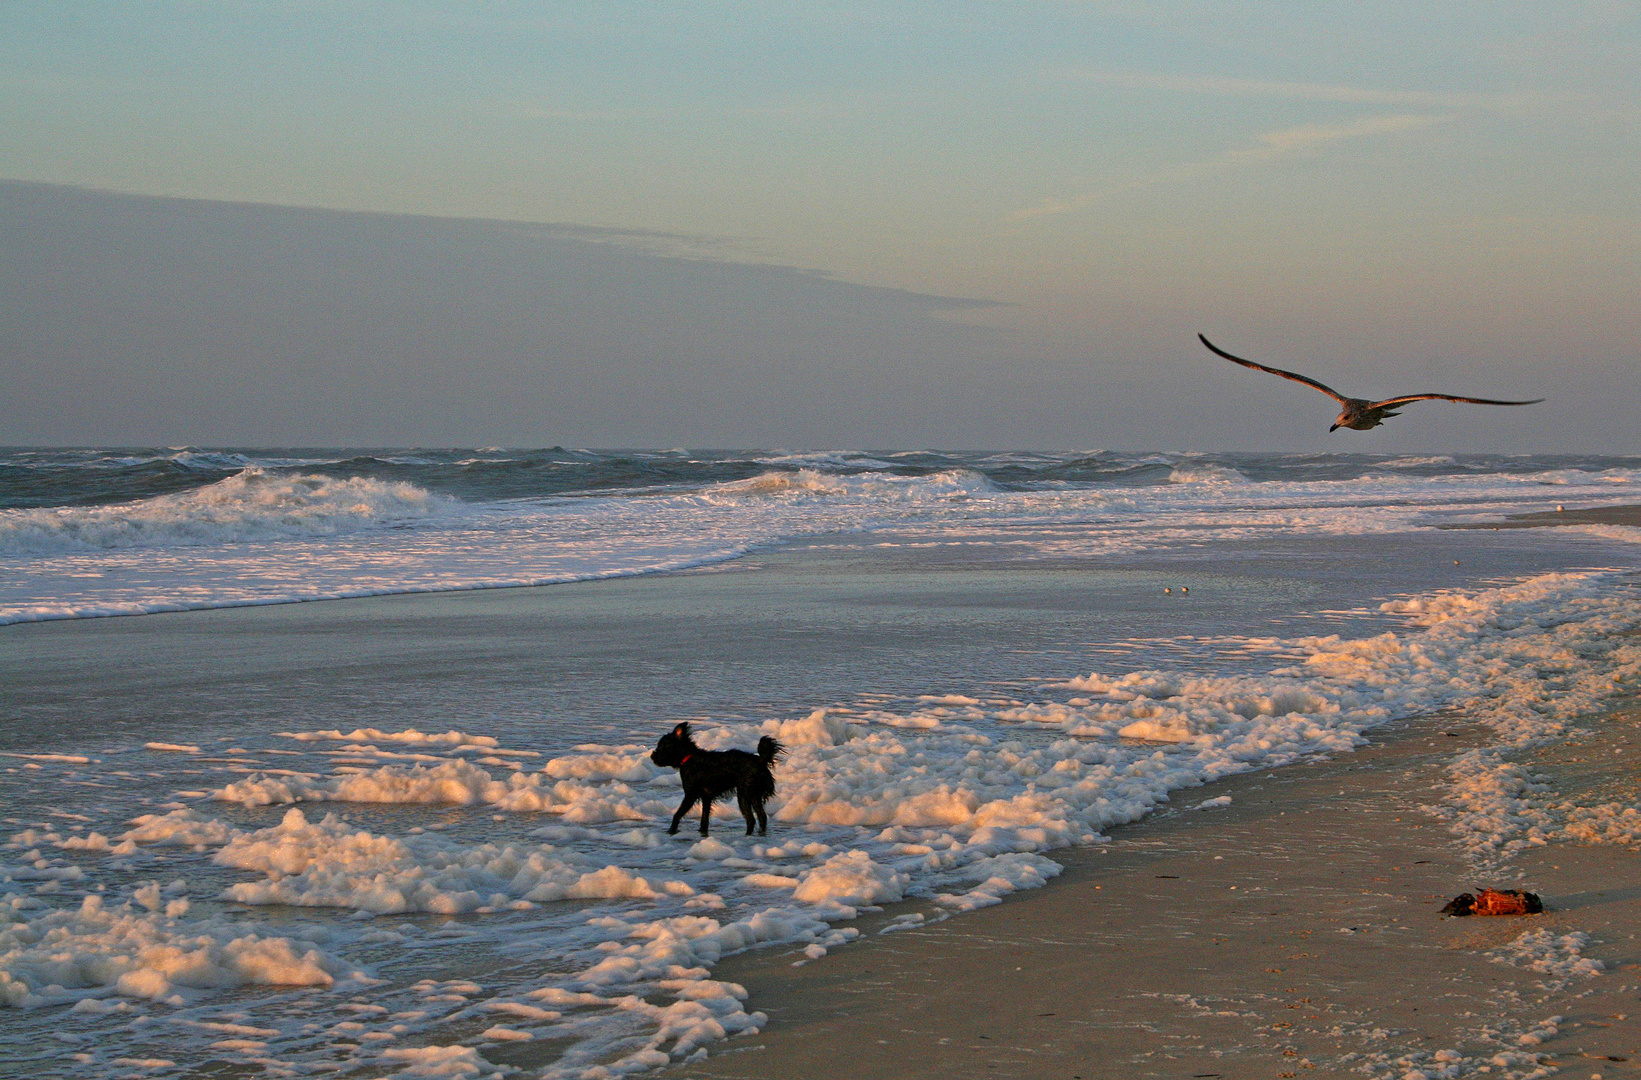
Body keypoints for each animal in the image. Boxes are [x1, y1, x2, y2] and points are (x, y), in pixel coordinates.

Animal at [649, 718, 784, 837]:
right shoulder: (706, 797)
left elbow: (677, 814)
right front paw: (702, 832)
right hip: (754, 794)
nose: (652, 756)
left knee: (751, 819)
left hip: (744, 794)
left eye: (661, 746)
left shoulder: (691, 794)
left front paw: (671, 830)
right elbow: (704, 819)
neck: (689, 758)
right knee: (762, 817)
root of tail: (761, 760)